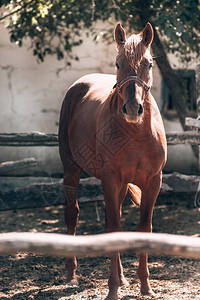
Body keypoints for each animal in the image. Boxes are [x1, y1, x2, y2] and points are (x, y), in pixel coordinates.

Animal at [58, 22, 166, 298]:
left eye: (149, 63)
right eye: (118, 64)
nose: (133, 109)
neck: (136, 134)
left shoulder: (153, 182)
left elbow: (144, 228)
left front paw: (145, 286)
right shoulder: (110, 180)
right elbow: (113, 228)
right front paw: (112, 289)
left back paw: (125, 279)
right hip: (71, 169)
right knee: (72, 214)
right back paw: (71, 276)